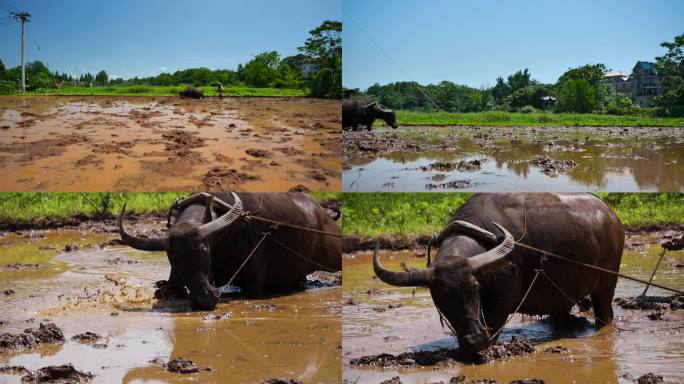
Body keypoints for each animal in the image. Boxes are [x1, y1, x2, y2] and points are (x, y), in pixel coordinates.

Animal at [120, 194, 342, 310]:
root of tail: (324, 214)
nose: (203, 300)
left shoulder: (254, 282)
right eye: (174, 260)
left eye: (205, 251)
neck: (223, 236)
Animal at [374, 194, 624, 356]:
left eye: (474, 287)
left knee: (605, 314)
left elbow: (494, 325)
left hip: (606, 285)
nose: (474, 340)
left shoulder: (503, 301)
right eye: (439, 298)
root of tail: (612, 217)